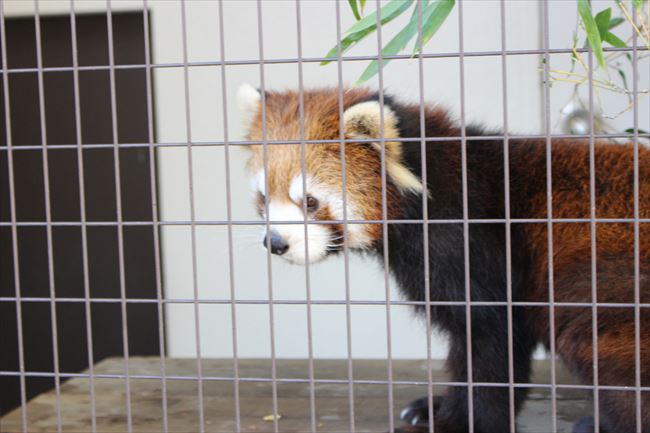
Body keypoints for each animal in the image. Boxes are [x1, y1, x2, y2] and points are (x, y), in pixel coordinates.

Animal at [237, 83, 650, 433]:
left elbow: (489, 343)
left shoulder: (469, 247)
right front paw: (435, 409)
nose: (276, 242)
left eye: (309, 201)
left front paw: (462, 421)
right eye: (263, 198)